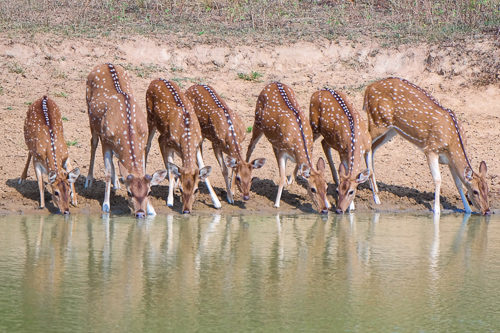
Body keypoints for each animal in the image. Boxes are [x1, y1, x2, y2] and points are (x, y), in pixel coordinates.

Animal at [84, 63, 166, 217]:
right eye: (129, 193)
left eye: (149, 192)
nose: (140, 213)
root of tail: (105, 64)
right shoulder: (106, 141)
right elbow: (107, 173)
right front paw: (106, 206)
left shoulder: (142, 142)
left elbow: (142, 169)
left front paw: (151, 210)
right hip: (91, 118)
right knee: (93, 143)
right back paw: (89, 180)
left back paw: (116, 182)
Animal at [146, 78, 222, 213]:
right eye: (181, 190)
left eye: (196, 190)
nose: (186, 210)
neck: (186, 136)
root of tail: (156, 80)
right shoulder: (169, 143)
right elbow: (171, 168)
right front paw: (170, 200)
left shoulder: (197, 144)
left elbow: (201, 166)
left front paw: (216, 202)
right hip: (150, 117)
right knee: (148, 144)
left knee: (158, 142)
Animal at [245, 81, 330, 214]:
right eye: (312, 189)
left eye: (326, 187)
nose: (324, 210)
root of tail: (272, 83)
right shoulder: (282, 151)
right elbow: (281, 177)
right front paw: (276, 204)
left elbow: (296, 169)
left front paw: (290, 180)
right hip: (257, 121)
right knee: (250, 146)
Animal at [364, 76, 488, 214]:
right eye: (475, 191)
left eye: (487, 189)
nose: (487, 210)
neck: (452, 143)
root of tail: (368, 89)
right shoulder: (431, 149)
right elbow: (438, 179)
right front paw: (436, 210)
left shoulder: (450, 161)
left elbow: (458, 183)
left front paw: (468, 210)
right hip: (378, 121)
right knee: (365, 143)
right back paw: (376, 198)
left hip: (391, 130)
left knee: (372, 148)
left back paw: (374, 189)